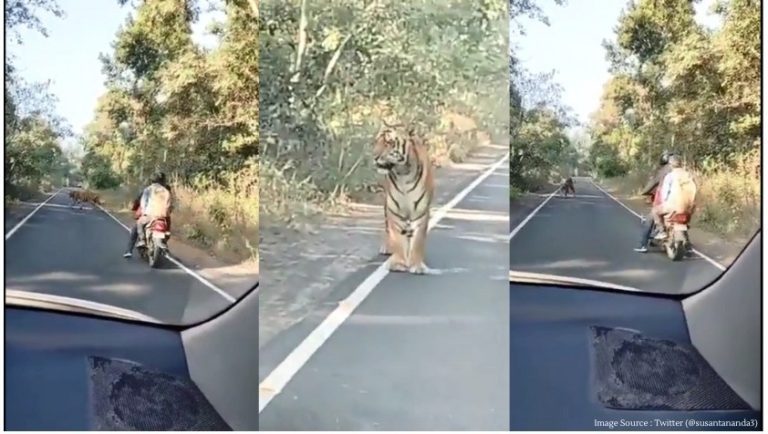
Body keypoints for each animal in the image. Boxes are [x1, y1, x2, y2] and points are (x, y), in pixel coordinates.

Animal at [373, 123, 435, 274]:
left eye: (388, 143)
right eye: (376, 141)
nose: (374, 156)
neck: (403, 174)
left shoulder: (421, 212)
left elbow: (418, 240)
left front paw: (416, 265)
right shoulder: (395, 211)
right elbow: (397, 238)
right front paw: (399, 263)